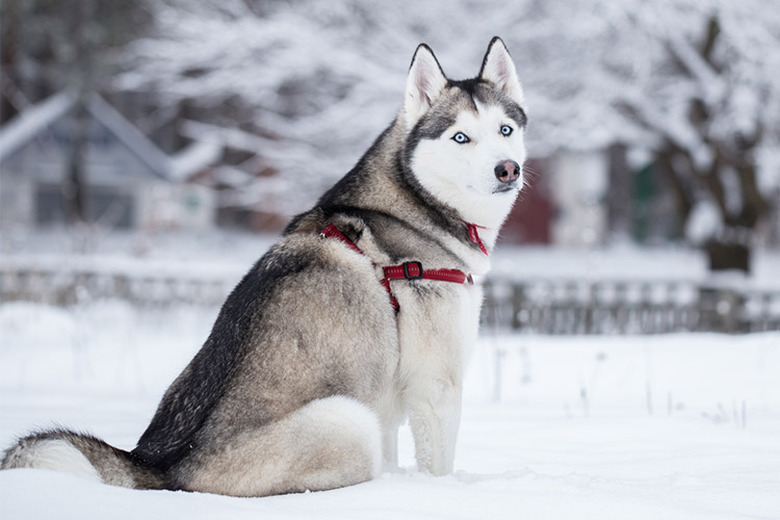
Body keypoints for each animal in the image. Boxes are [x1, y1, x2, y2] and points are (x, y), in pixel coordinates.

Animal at [1, 36, 524, 496]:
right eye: (460, 136)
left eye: (506, 130)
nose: (508, 169)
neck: (416, 202)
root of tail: (160, 464)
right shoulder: (435, 388)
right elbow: (439, 465)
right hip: (351, 419)